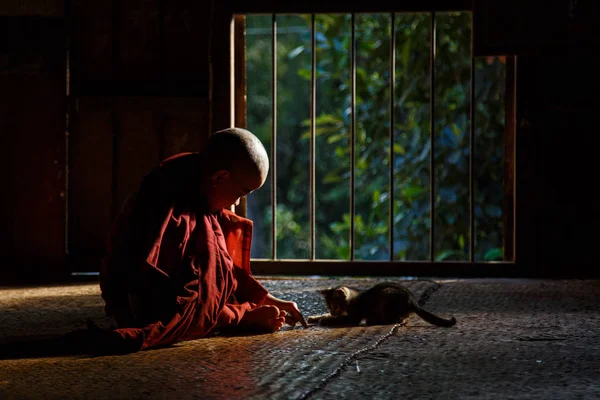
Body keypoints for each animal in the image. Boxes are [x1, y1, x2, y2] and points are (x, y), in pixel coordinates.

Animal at [310, 282, 454, 328]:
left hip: (386, 296)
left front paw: (325, 320)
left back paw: (374, 320)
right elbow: (325, 315)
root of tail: (414, 302)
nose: (333, 312)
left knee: (399, 320)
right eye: (329, 307)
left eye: (335, 307)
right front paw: (314, 317)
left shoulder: (353, 317)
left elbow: (340, 319)